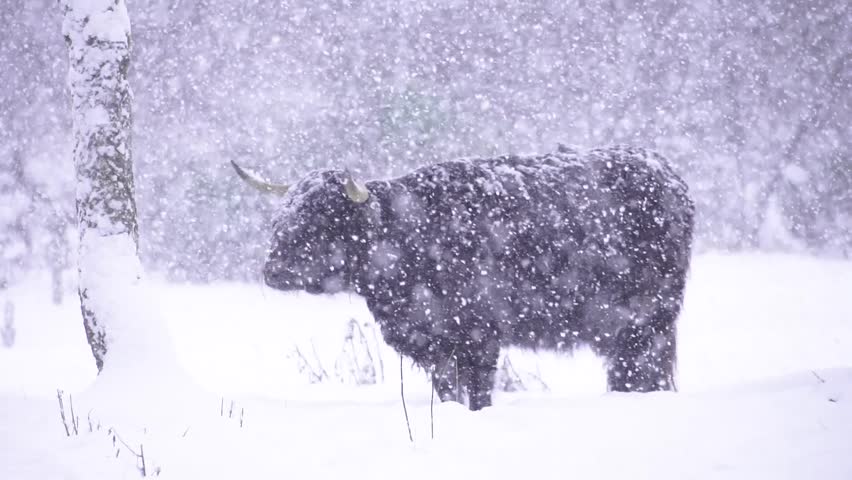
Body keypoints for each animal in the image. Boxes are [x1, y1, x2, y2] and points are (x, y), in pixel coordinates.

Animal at [233, 144, 694, 410]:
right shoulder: (432, 342)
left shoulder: (479, 336)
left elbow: (477, 391)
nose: (272, 270)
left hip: (648, 318)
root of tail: (666, 174)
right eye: (281, 218)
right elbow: (448, 389)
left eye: (322, 218)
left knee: (643, 366)